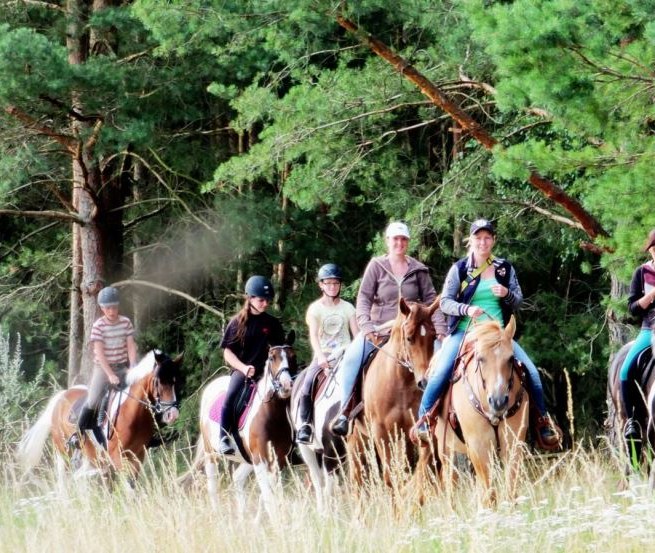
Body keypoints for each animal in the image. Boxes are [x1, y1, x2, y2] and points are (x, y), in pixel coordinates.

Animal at [18, 350, 182, 488]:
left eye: (175, 381)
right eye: (158, 382)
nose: (172, 414)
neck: (132, 413)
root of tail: (62, 395)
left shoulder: (137, 455)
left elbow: (131, 485)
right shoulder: (117, 456)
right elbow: (127, 484)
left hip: (89, 452)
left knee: (82, 478)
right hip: (63, 451)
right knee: (63, 481)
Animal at [192, 332, 298, 516]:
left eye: (293, 356)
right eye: (272, 357)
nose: (286, 386)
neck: (271, 416)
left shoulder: (278, 461)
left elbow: (271, 496)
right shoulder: (261, 459)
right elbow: (269, 499)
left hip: (246, 459)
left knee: (237, 480)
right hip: (210, 453)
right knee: (213, 486)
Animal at [348, 296, 440, 490]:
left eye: (434, 336)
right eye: (409, 337)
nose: (425, 381)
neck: (399, 383)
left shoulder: (413, 431)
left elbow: (418, 465)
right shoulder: (381, 433)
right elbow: (390, 477)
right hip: (356, 440)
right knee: (357, 477)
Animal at [434, 314, 532, 504]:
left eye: (511, 359)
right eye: (480, 358)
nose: (498, 401)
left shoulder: (513, 442)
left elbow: (510, 488)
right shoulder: (478, 446)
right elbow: (489, 494)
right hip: (447, 451)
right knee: (450, 484)